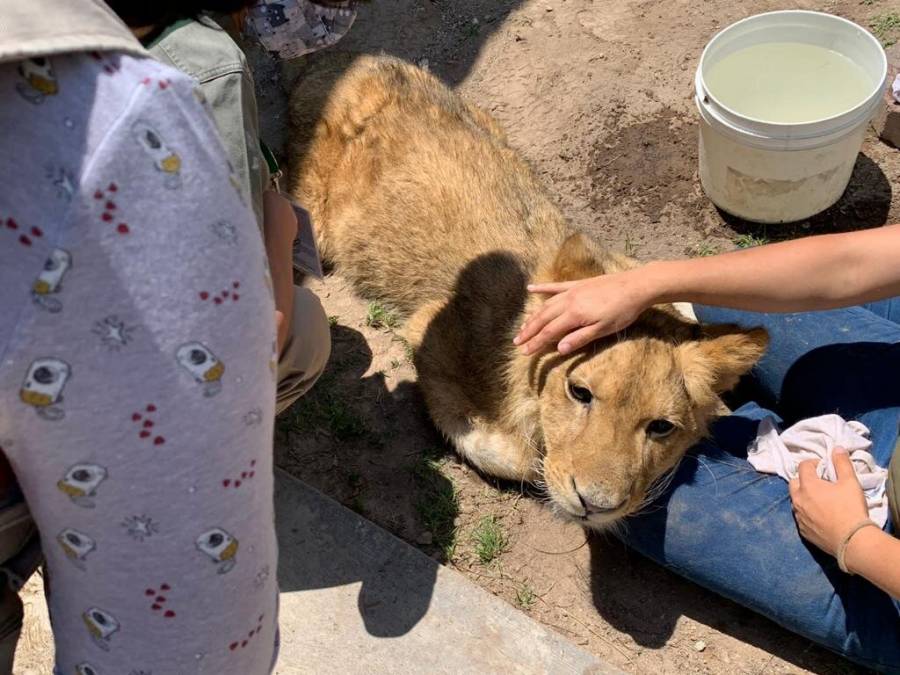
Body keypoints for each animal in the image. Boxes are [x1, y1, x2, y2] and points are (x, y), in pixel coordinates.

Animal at [287, 55, 767, 528]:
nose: (594, 504)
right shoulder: (428, 334)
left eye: (661, 427)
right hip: (312, 224)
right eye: (579, 393)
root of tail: (359, 61)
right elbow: (510, 455)